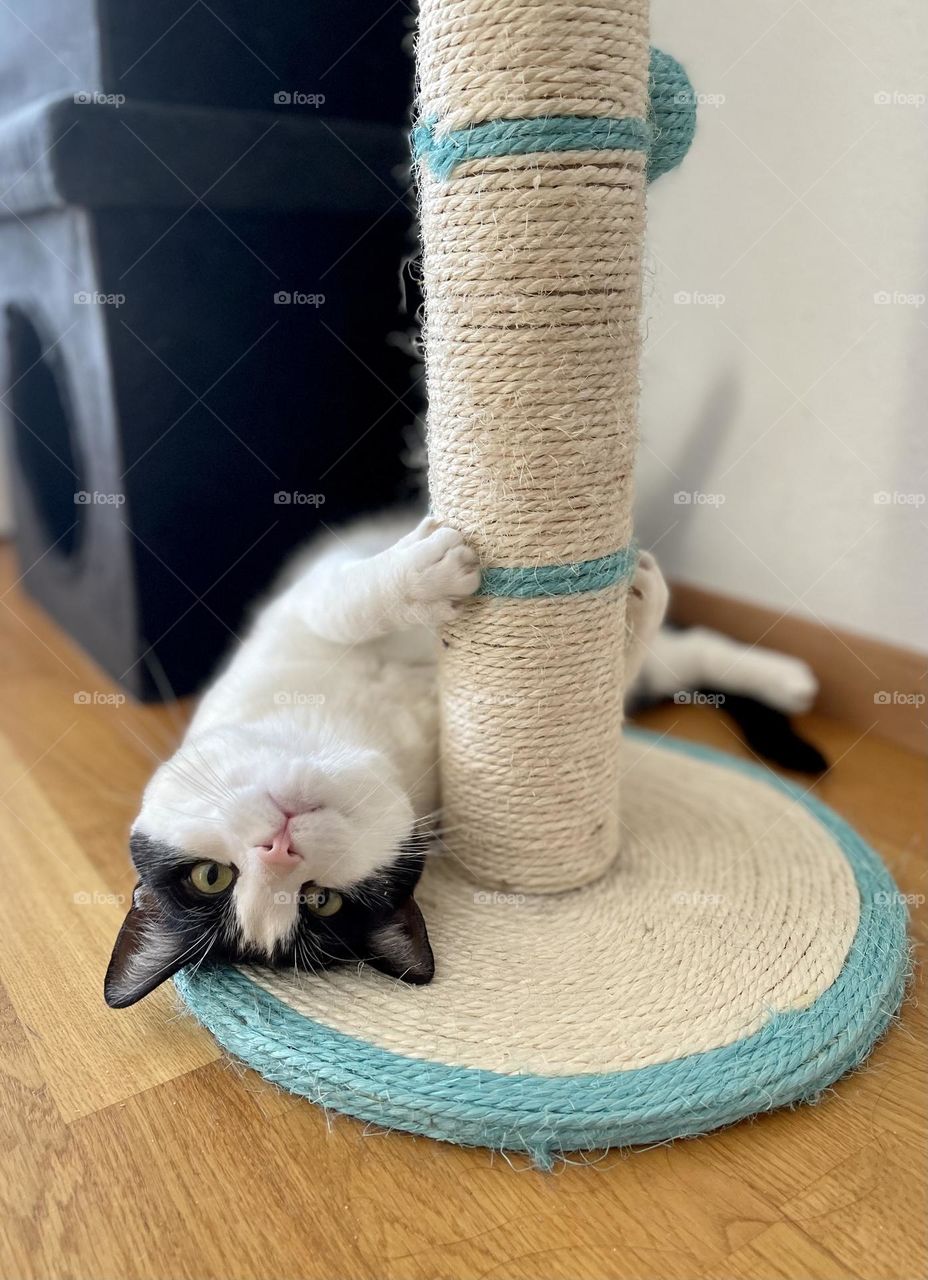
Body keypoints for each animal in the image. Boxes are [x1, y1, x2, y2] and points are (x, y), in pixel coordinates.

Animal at [104, 509, 814, 1008]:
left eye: (207, 877)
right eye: (320, 902)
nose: (278, 850)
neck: (349, 730)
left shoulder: (296, 616)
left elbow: (337, 604)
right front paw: (429, 576)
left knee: (689, 652)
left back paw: (785, 674)